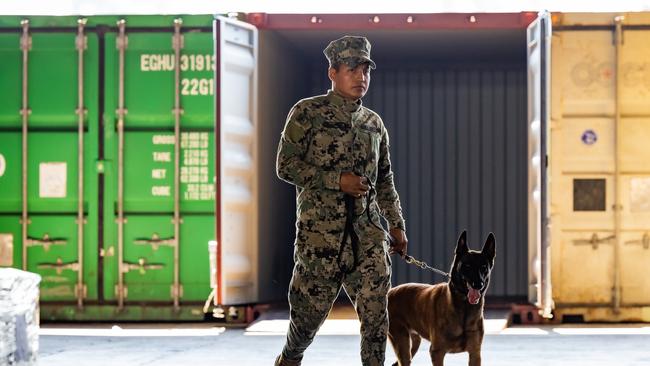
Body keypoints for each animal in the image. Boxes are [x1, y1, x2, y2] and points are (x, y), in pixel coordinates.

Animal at [384, 232, 496, 366]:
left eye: (484, 267)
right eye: (467, 266)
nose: (478, 284)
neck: (464, 308)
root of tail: (390, 292)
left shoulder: (475, 353)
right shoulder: (437, 352)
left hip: (413, 344)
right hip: (402, 343)